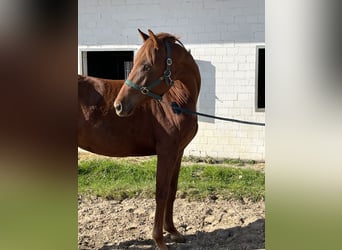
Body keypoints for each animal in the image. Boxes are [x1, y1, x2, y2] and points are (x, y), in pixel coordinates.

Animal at [77, 28, 200, 248]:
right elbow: (161, 193)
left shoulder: (178, 152)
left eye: (146, 66)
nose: (119, 106)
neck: (177, 100)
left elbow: (172, 191)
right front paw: (159, 240)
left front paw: (173, 232)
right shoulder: (166, 152)